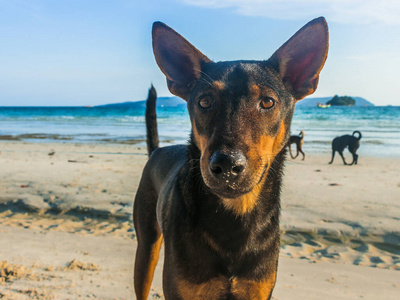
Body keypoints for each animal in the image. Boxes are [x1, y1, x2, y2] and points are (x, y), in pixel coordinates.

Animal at [134, 17, 328, 298]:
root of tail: (158, 150)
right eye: (204, 102)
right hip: (146, 248)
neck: (236, 213)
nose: (225, 165)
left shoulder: (258, 289)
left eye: (267, 102)